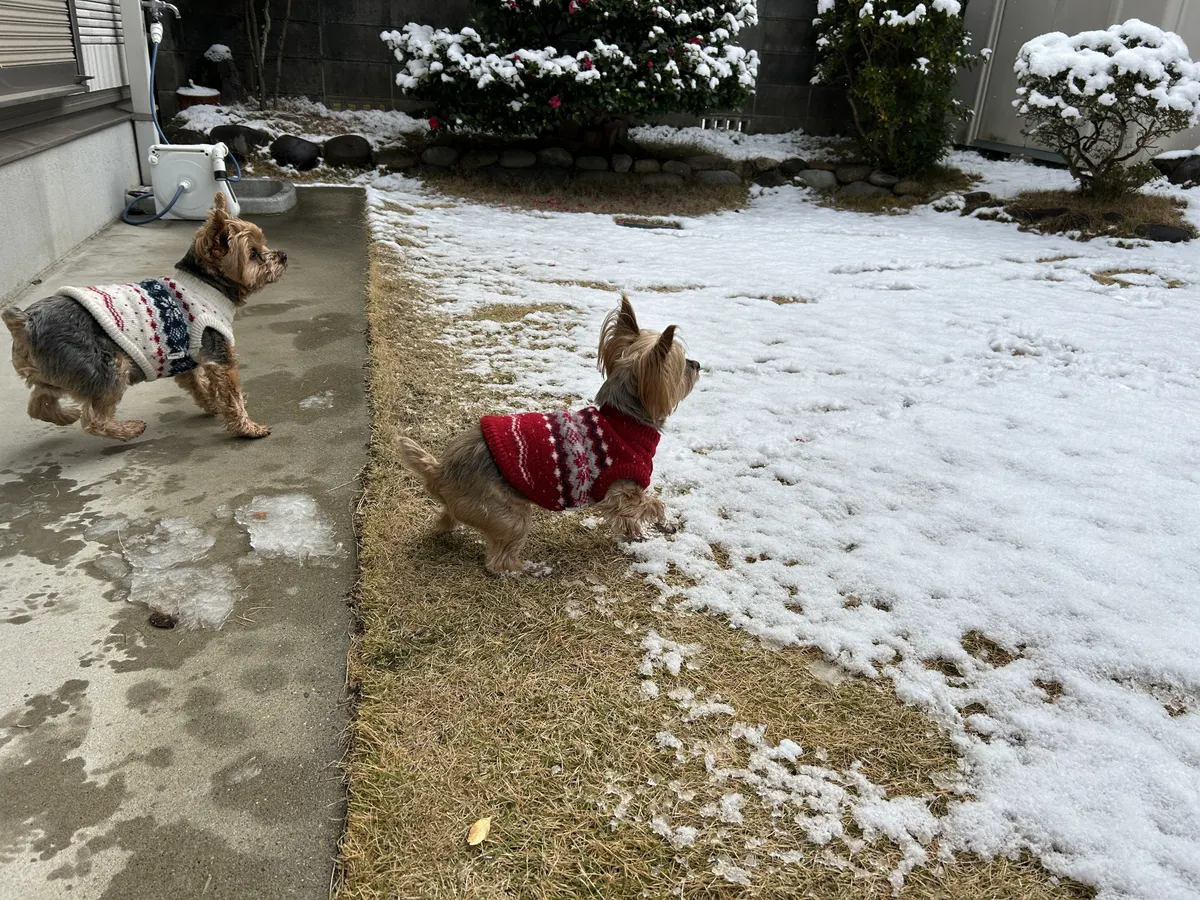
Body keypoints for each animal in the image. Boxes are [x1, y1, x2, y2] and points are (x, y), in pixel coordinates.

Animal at [2, 192, 286, 442]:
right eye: (253, 253)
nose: (283, 256)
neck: (207, 284)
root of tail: (25, 323)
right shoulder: (220, 357)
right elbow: (231, 396)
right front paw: (248, 428)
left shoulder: (185, 358)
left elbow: (199, 384)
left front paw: (213, 406)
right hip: (109, 366)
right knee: (94, 420)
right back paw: (129, 429)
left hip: (57, 374)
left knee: (39, 403)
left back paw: (66, 415)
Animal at [397, 296, 700, 574]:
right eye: (682, 364)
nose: (697, 363)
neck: (626, 419)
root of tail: (439, 472)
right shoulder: (622, 489)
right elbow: (651, 503)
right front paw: (663, 522)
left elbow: (630, 518)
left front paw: (635, 534)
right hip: (509, 515)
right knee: (499, 561)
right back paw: (531, 570)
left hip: (470, 508)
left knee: (445, 519)